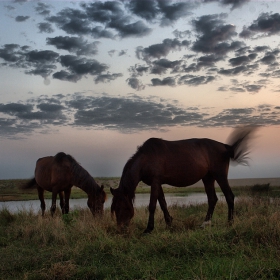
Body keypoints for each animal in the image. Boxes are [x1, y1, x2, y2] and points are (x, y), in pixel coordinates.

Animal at [110, 126, 258, 233]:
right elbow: (163, 203)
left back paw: (229, 222)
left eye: (122, 206)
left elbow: (152, 205)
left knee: (229, 196)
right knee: (212, 199)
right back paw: (205, 224)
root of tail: (225, 146)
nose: (120, 230)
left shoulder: (155, 182)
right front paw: (169, 224)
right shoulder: (158, 183)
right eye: (114, 208)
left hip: (220, 176)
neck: (146, 158)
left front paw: (149, 229)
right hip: (208, 178)